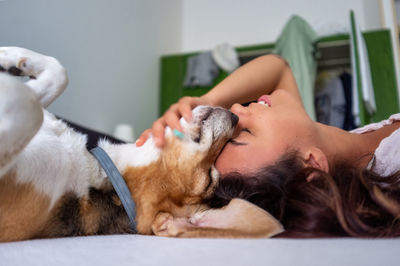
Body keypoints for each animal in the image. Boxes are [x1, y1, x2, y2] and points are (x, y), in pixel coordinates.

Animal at [0, 46, 282, 242]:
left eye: (210, 180)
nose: (236, 117)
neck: (103, 173)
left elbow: (28, 104)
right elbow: (59, 73)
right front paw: (11, 57)